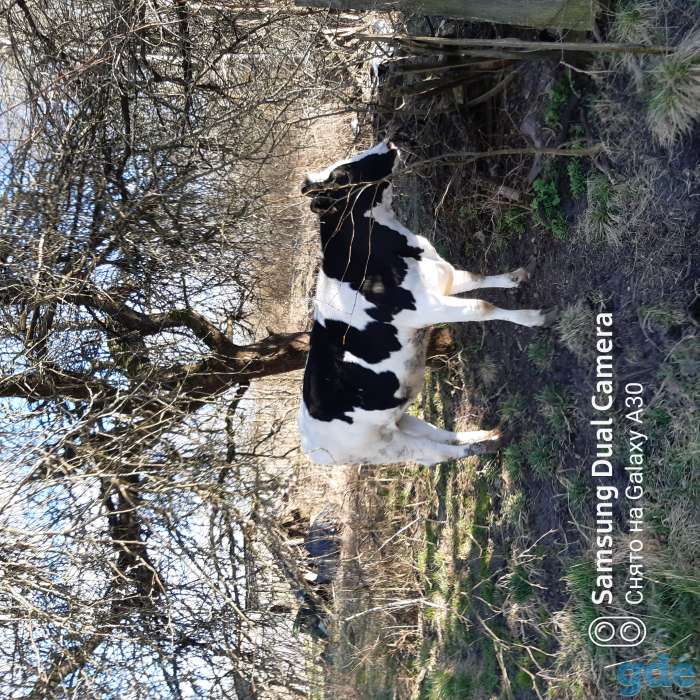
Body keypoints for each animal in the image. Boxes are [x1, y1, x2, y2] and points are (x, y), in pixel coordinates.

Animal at [298, 140, 554, 466]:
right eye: (343, 176)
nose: (387, 142)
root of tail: (309, 445)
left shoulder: (442, 278)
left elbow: (478, 278)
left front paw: (516, 277)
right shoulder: (427, 307)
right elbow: (482, 306)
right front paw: (534, 318)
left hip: (398, 418)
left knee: (438, 433)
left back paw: (487, 433)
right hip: (384, 447)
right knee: (436, 454)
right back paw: (489, 445)